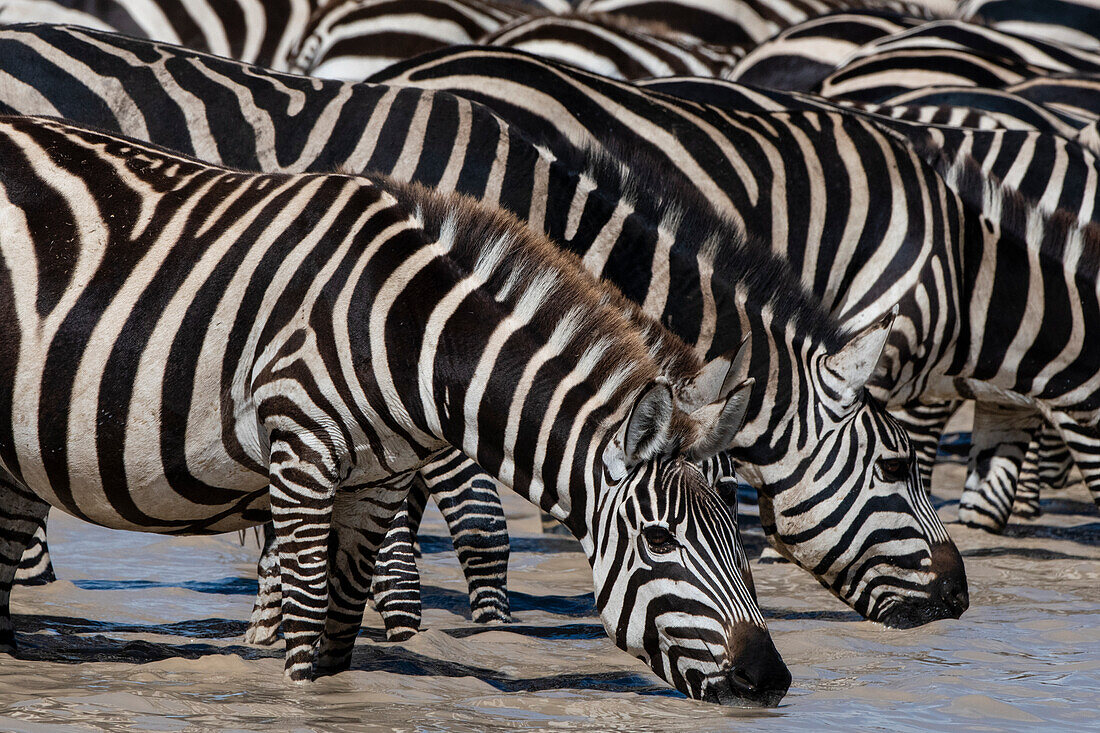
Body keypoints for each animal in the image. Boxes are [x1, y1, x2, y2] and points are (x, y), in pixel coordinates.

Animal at [0, 22, 968, 629]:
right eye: (895, 467)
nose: (960, 598)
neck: (522, 202)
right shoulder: (429, 345)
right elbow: (473, 522)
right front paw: (451, 632)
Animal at [0, 115, 800, 704]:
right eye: (660, 540)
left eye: (738, 534)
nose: (770, 680)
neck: (403, 331)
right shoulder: (300, 457)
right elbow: (305, 627)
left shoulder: (376, 482)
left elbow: (340, 631)